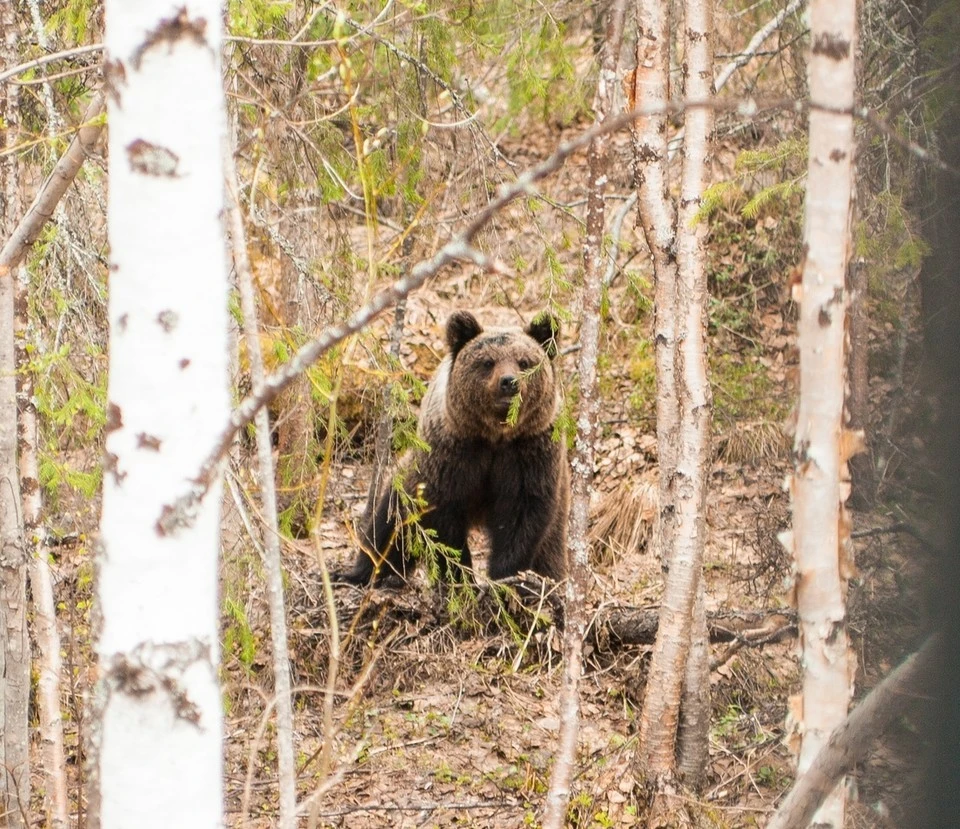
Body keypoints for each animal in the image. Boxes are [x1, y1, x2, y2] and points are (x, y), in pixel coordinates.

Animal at [342, 308, 568, 584]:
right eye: (488, 362)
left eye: (524, 362)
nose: (509, 382)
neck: (495, 434)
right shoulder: (453, 452)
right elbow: (443, 516)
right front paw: (459, 576)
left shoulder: (529, 451)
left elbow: (522, 516)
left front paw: (506, 577)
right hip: (409, 478)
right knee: (391, 525)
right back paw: (363, 572)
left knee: (550, 549)